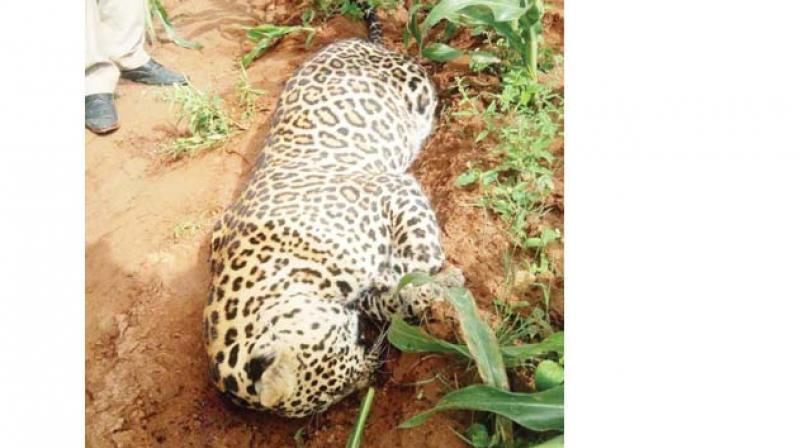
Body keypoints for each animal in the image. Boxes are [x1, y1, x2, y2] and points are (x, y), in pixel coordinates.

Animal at [203, 1, 462, 418]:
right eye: (337, 391)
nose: (373, 373)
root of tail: (358, 42)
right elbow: (388, 297)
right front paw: (416, 297)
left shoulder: (393, 190)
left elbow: (417, 256)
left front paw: (434, 284)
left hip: (411, 83)